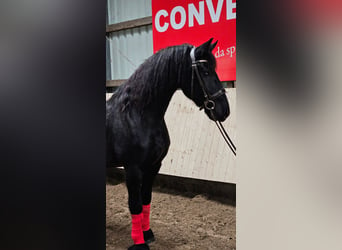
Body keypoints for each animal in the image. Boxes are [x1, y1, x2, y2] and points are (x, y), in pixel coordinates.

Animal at [106, 38, 230, 249]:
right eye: (205, 71)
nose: (224, 110)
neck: (137, 115)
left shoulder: (154, 166)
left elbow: (146, 199)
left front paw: (147, 234)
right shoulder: (133, 169)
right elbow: (135, 204)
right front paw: (139, 243)